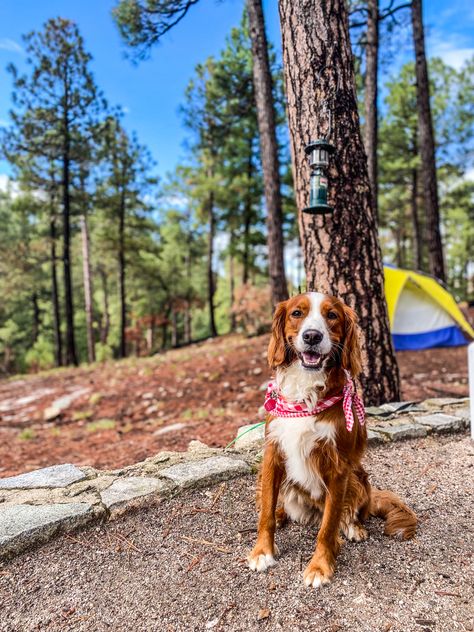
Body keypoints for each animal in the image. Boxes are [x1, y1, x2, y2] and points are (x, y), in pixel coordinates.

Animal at [246, 292, 416, 588]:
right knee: (279, 504)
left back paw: (353, 527)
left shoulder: (338, 467)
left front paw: (320, 567)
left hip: (358, 477)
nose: (312, 336)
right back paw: (282, 514)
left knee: (349, 512)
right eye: (297, 313)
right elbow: (266, 511)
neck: (306, 394)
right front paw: (262, 551)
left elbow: (328, 526)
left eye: (332, 315)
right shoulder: (273, 454)